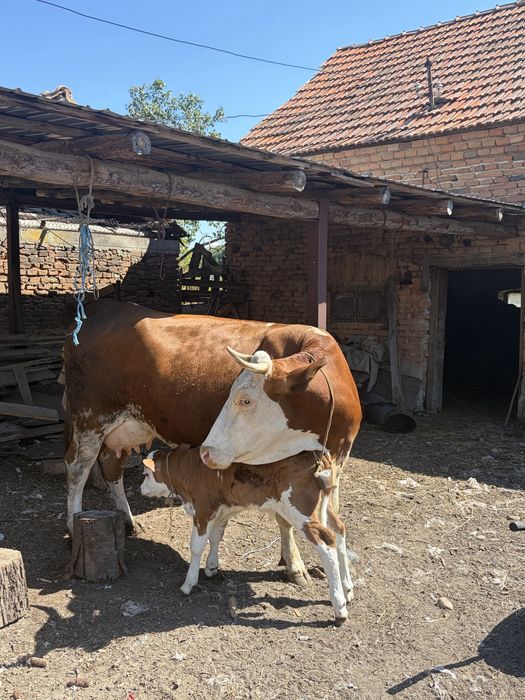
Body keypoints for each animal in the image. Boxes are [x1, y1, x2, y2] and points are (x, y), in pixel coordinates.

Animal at [63, 300, 361, 583]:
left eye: (245, 400)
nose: (207, 450)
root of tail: (103, 309)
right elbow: (283, 518)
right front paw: (295, 565)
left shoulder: (336, 460)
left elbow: (329, 515)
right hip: (90, 418)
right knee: (77, 470)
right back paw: (72, 526)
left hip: (127, 427)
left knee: (112, 468)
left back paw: (127, 520)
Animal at [140, 446, 354, 624]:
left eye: (146, 474)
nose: (140, 488)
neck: (190, 470)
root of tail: (318, 454)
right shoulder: (222, 508)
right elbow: (216, 535)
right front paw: (211, 567)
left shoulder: (203, 509)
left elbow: (197, 545)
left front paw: (189, 583)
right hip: (321, 508)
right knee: (340, 529)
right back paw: (348, 589)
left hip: (300, 510)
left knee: (326, 542)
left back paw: (339, 607)